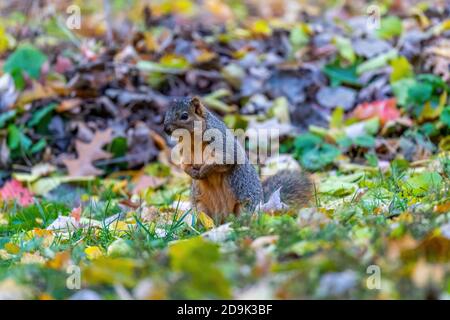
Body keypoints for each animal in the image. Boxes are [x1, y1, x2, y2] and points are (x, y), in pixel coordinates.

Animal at [163, 96, 312, 219]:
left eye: (184, 116)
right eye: (166, 113)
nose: (166, 129)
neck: (193, 139)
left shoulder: (224, 145)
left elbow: (223, 160)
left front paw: (204, 170)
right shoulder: (185, 152)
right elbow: (184, 165)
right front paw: (192, 173)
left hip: (245, 205)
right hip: (200, 206)